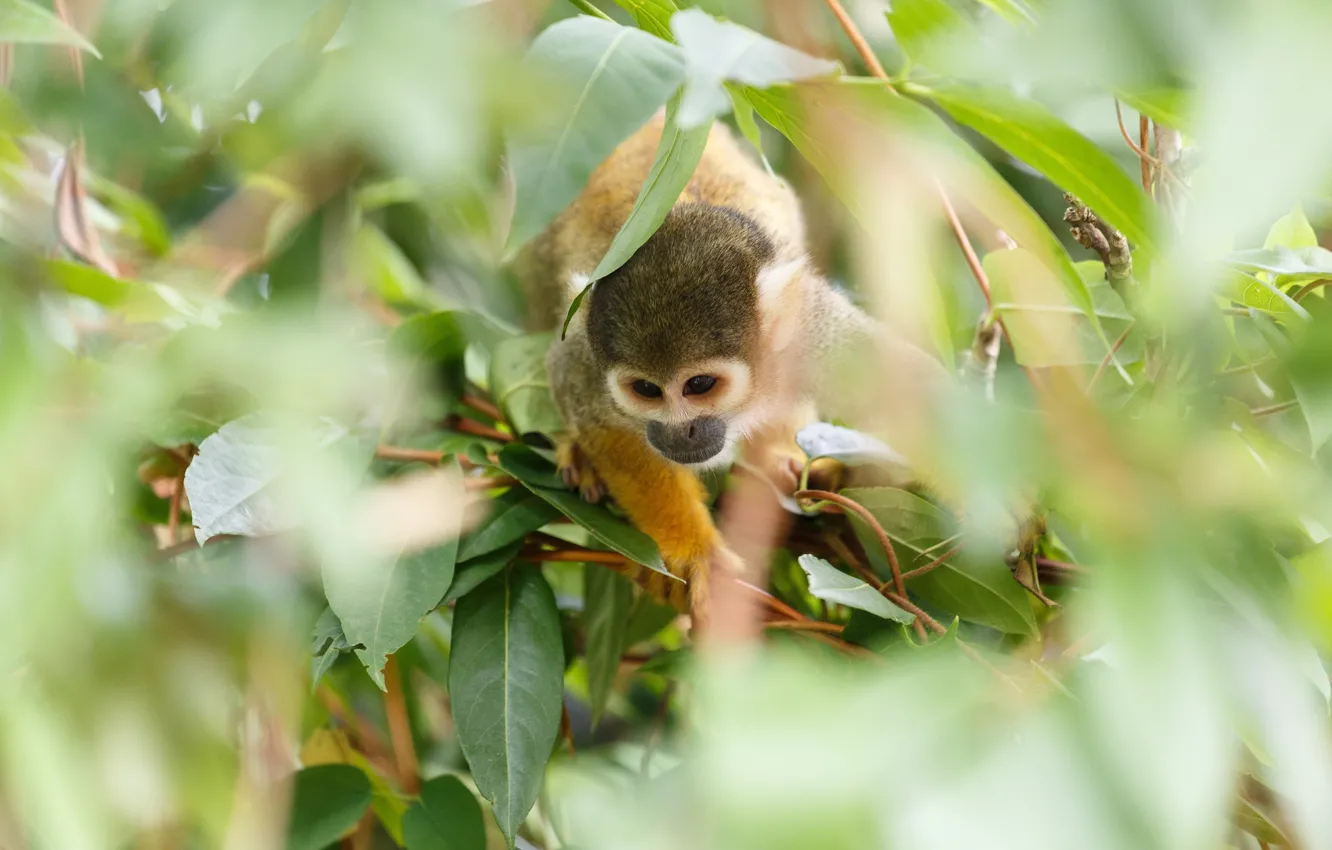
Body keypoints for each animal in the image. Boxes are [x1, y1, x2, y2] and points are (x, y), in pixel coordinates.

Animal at [514, 111, 960, 619]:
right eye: (647, 390)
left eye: (700, 384)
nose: (680, 434)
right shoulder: (587, 355)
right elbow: (595, 413)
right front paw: (690, 551)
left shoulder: (809, 333)